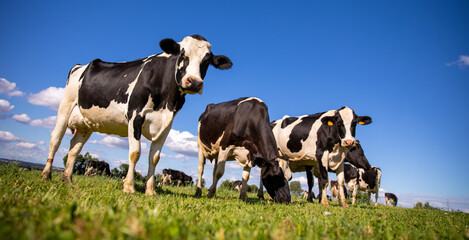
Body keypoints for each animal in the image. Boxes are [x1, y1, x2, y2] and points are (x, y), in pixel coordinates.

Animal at [40, 34, 232, 197]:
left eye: (207, 61)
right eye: (182, 54)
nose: (194, 82)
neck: (166, 100)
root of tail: (82, 65)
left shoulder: (167, 124)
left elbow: (154, 158)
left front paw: (150, 191)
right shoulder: (135, 116)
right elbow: (135, 153)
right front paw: (129, 187)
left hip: (86, 124)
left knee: (74, 149)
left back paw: (68, 180)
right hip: (65, 106)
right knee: (55, 139)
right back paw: (46, 175)